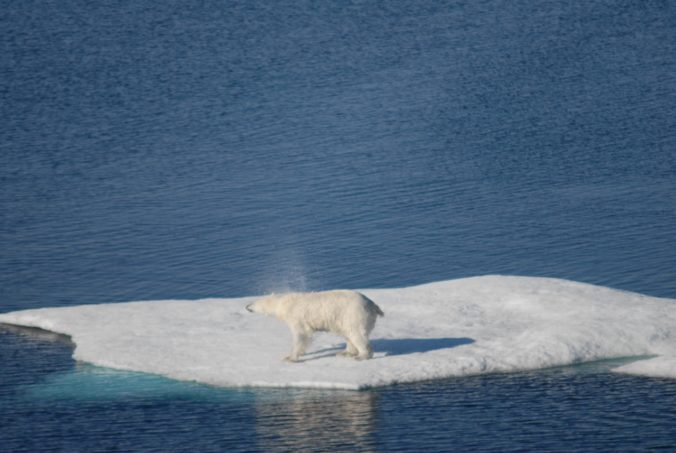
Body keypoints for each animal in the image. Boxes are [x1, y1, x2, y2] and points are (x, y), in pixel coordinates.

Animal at [247, 290, 386, 360]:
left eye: (253, 303)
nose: (246, 306)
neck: (283, 303)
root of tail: (372, 305)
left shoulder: (297, 317)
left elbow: (301, 335)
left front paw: (290, 357)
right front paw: (300, 353)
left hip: (353, 313)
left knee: (356, 334)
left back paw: (362, 355)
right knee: (348, 333)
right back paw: (345, 352)